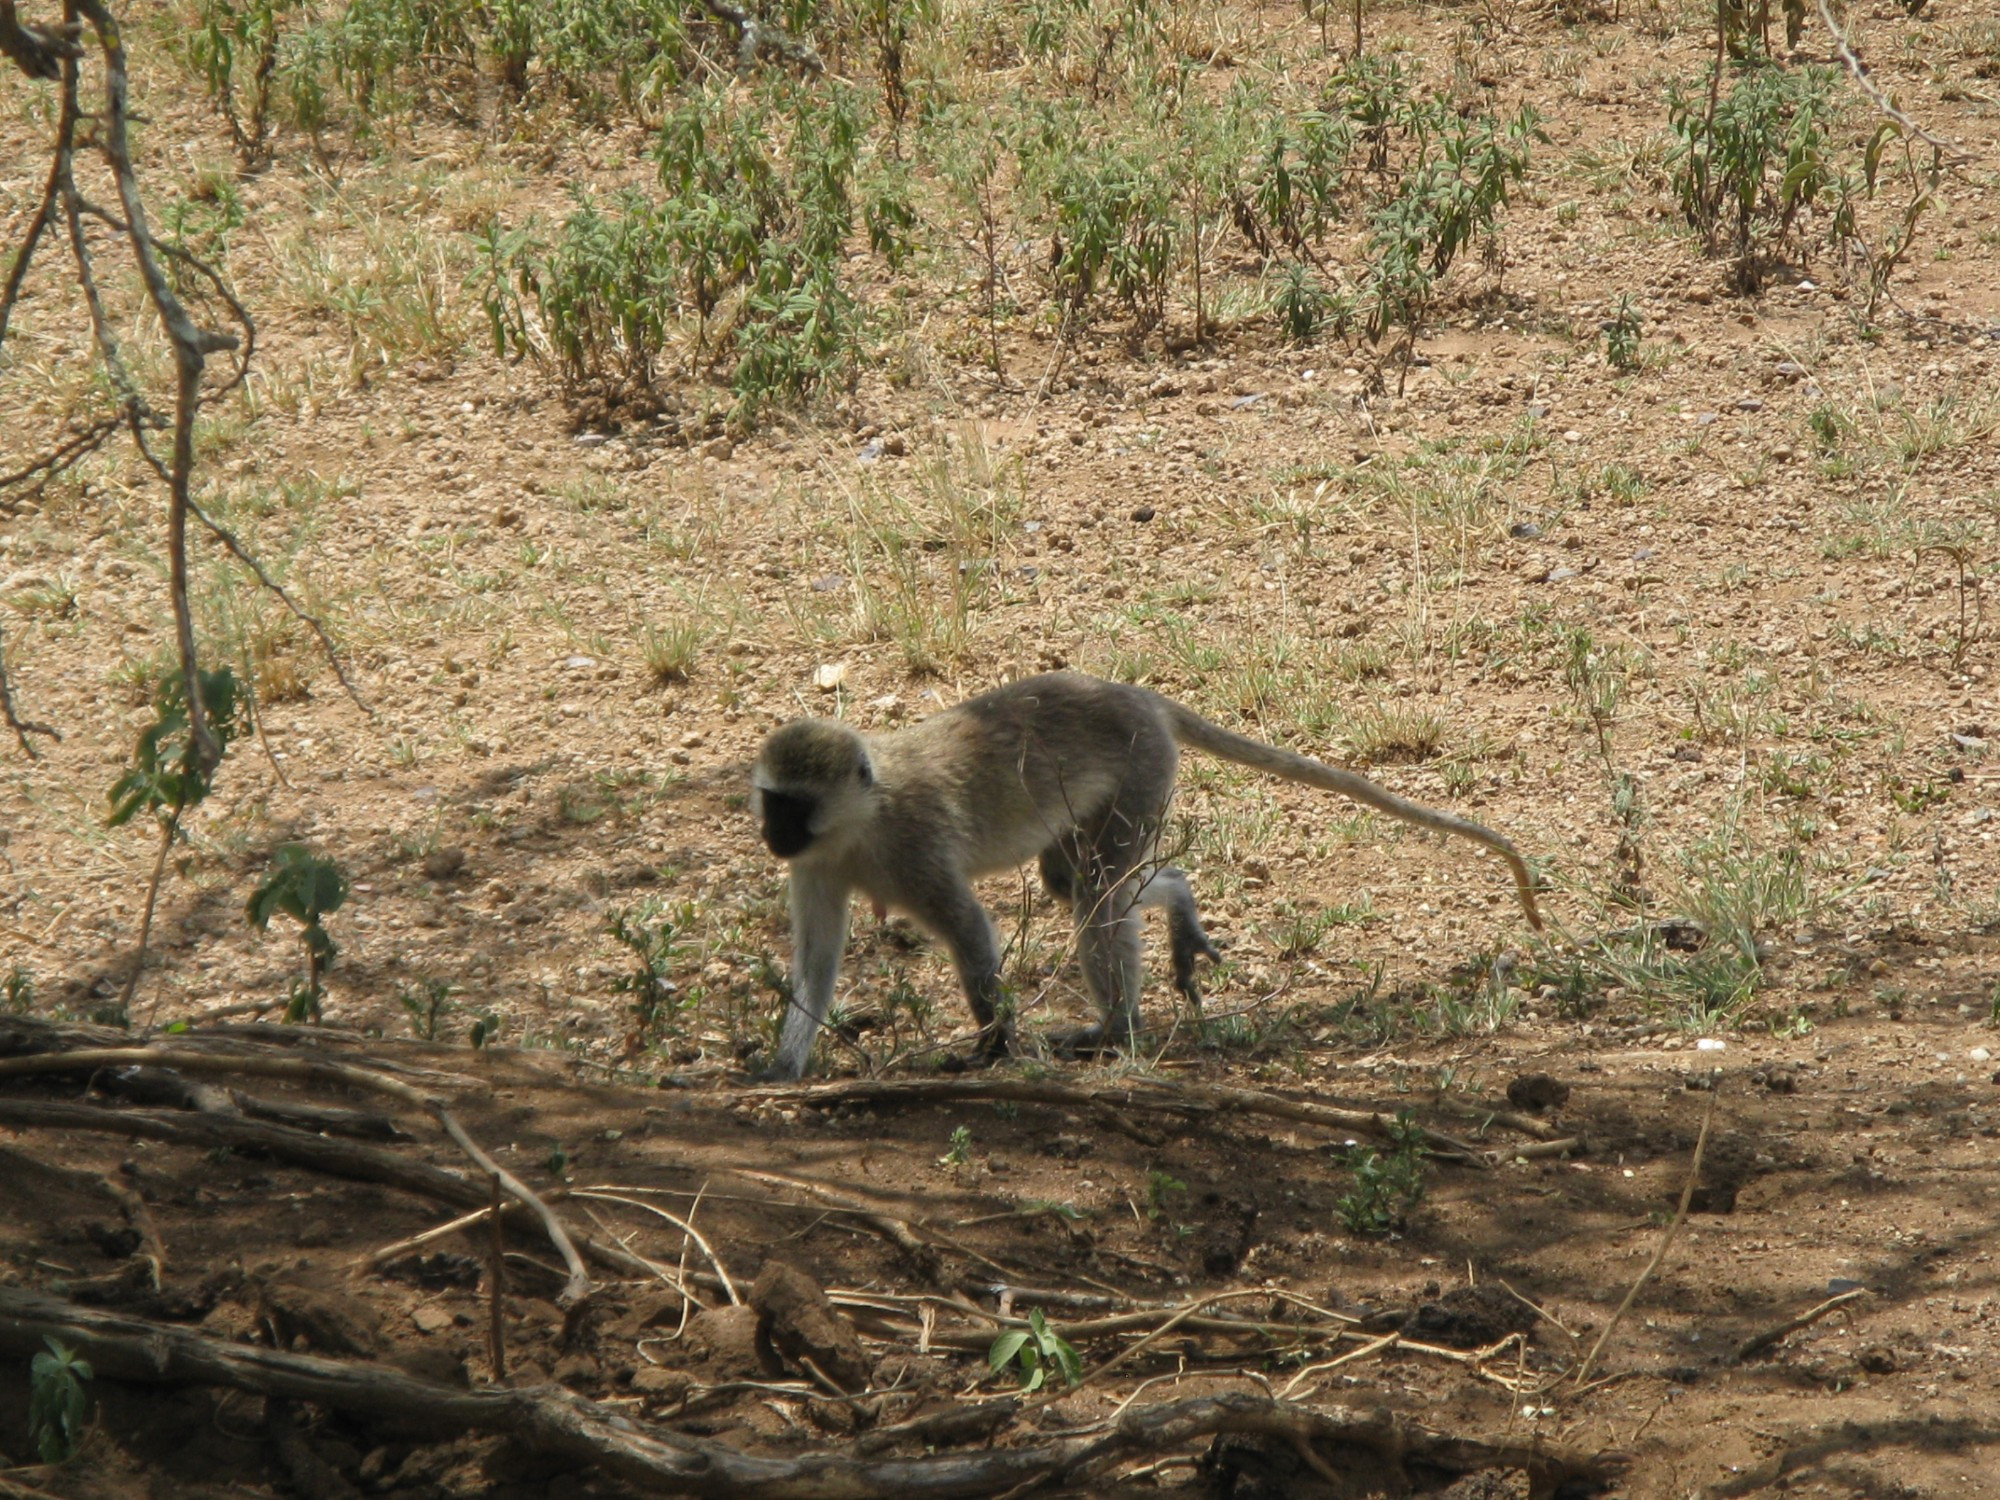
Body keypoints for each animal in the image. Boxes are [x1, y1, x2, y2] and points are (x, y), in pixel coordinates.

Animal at [744, 672, 1536, 1080]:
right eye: (773, 800)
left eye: (793, 806)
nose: (770, 836)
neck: (860, 822)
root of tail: (1138, 696)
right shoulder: (817, 866)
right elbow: (816, 961)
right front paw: (782, 1067)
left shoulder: (916, 847)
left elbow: (970, 930)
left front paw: (995, 1046)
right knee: (1084, 884)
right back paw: (1177, 902)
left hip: (1142, 767)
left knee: (1096, 895)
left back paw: (1116, 1030)